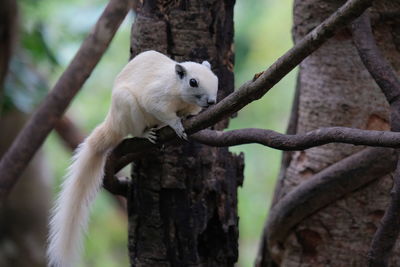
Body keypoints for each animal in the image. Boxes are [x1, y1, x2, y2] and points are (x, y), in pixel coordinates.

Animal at [47, 50, 219, 267]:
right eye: (193, 82)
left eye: (215, 78)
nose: (211, 102)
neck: (179, 92)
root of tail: (113, 121)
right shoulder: (157, 96)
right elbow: (160, 109)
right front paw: (177, 125)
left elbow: (188, 113)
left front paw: (186, 118)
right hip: (127, 106)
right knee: (136, 129)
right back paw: (146, 134)